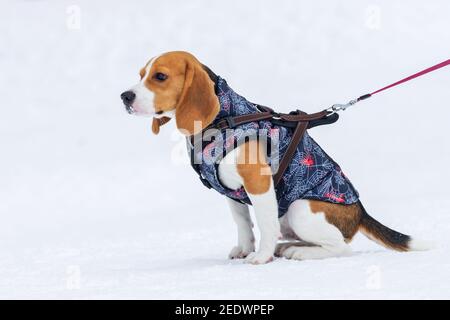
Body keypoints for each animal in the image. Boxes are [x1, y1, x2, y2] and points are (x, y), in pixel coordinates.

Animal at [120, 51, 428, 264]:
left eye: (160, 76)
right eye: (141, 74)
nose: (125, 96)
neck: (223, 119)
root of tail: (361, 214)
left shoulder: (258, 184)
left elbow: (264, 223)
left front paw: (261, 256)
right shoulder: (232, 193)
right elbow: (243, 224)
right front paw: (245, 250)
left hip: (300, 210)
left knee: (341, 247)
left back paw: (298, 253)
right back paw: (288, 247)